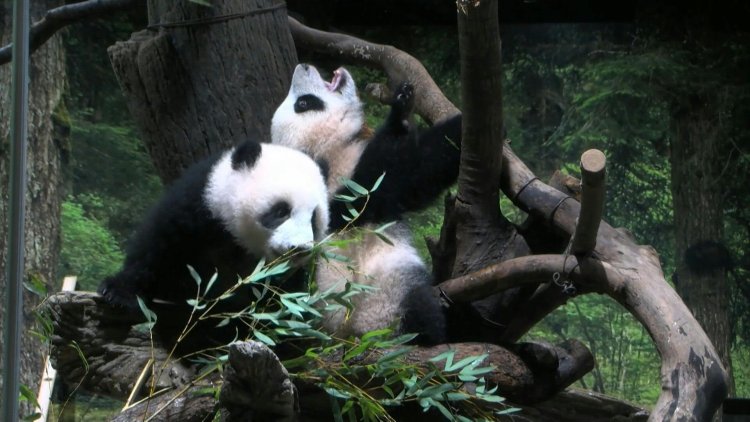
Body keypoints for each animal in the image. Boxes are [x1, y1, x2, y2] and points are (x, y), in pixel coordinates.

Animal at [97, 140, 330, 345]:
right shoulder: (200, 205)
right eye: (281, 211)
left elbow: (283, 302)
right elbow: (157, 247)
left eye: (313, 219)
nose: (299, 249)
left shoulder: (283, 277)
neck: (239, 243)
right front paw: (119, 294)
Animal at [271, 64, 462, 345]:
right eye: (303, 104)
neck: (326, 148)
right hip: (389, 300)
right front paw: (403, 111)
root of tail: (357, 339)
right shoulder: (355, 186)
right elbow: (416, 167)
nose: (302, 66)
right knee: (420, 314)